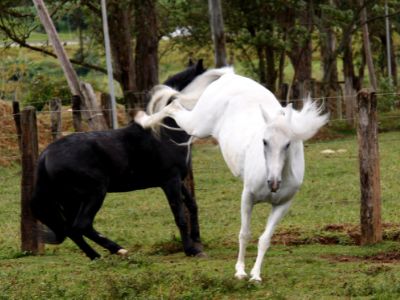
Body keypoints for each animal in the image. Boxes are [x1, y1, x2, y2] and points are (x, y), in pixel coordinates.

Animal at [30, 59, 206, 258]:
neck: (164, 131)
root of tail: (46, 155)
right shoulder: (170, 181)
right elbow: (180, 216)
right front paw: (191, 249)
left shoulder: (177, 180)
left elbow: (192, 205)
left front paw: (197, 240)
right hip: (94, 192)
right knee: (82, 225)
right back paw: (118, 250)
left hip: (70, 201)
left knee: (72, 229)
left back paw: (96, 256)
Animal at [134, 68, 328, 282]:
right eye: (264, 141)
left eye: (288, 144)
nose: (273, 183)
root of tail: (229, 76)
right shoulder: (248, 197)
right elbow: (244, 234)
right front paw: (240, 271)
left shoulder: (282, 206)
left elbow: (265, 239)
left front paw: (256, 275)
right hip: (198, 125)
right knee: (174, 105)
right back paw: (142, 119)